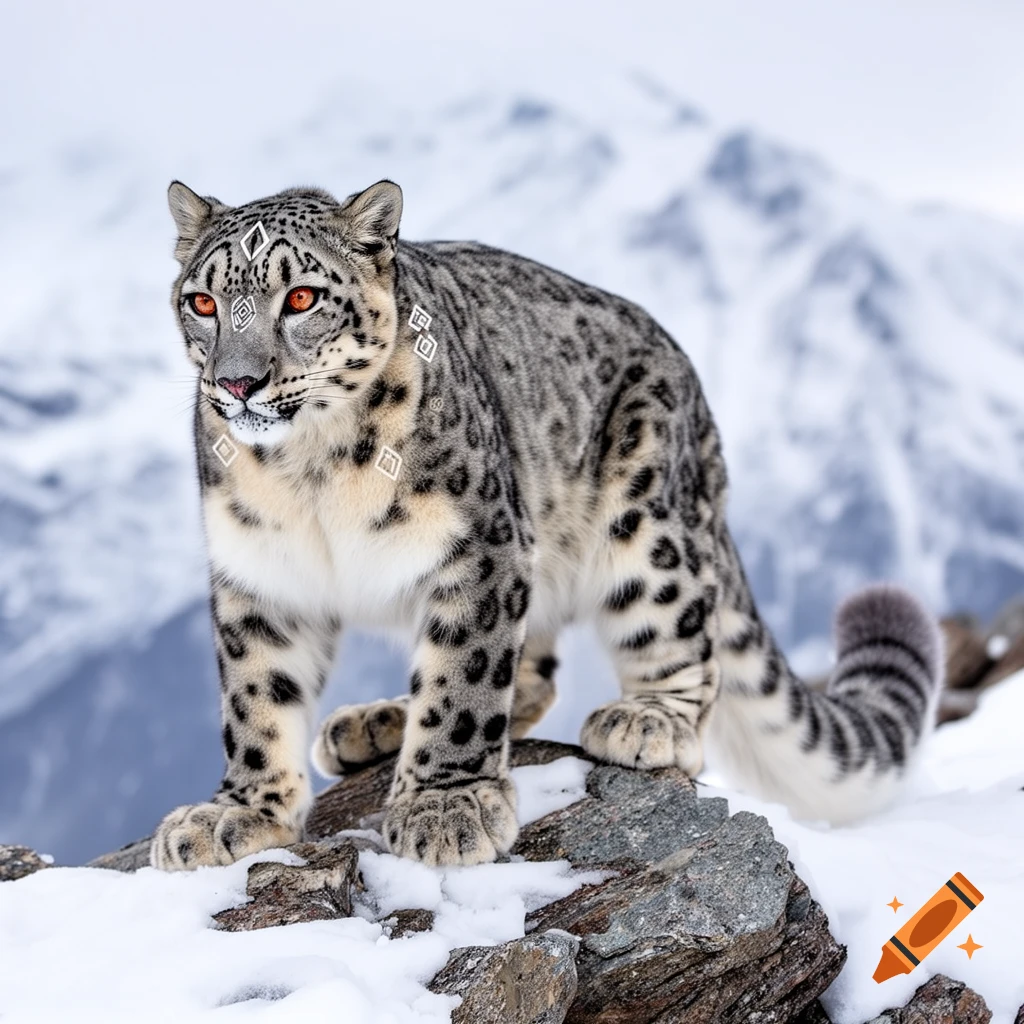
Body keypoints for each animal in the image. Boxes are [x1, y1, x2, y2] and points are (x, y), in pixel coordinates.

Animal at [150, 177, 942, 870]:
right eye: (202, 300)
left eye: (302, 297)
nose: (237, 382)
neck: (308, 472)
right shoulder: (256, 572)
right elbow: (256, 696)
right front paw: (238, 812)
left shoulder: (478, 547)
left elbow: (465, 678)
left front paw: (445, 806)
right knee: (530, 672)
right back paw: (374, 723)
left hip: (646, 518)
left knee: (672, 642)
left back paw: (646, 718)